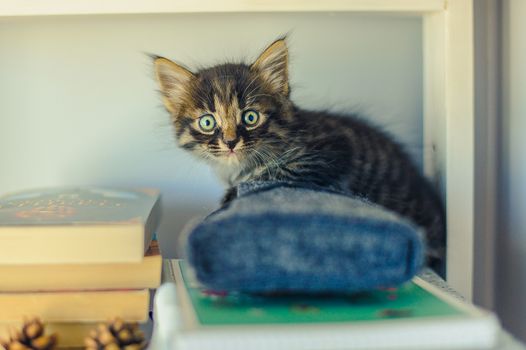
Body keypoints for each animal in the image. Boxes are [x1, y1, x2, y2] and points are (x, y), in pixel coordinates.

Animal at [155, 38, 448, 274]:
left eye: (250, 117)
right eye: (207, 122)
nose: (230, 142)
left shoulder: (333, 148)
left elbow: (276, 172)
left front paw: (233, 194)